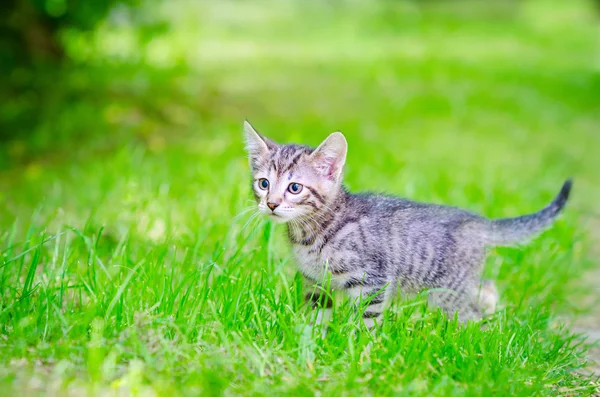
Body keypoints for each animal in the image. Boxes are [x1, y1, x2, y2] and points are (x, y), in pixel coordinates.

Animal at [243, 120, 572, 324]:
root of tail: (475, 221)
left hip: (447, 292)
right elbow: (316, 316)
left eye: (295, 188)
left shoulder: (372, 281)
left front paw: (357, 351)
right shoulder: (315, 283)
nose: (271, 203)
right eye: (263, 183)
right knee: (487, 287)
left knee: (472, 313)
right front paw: (312, 340)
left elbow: (366, 321)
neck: (312, 233)